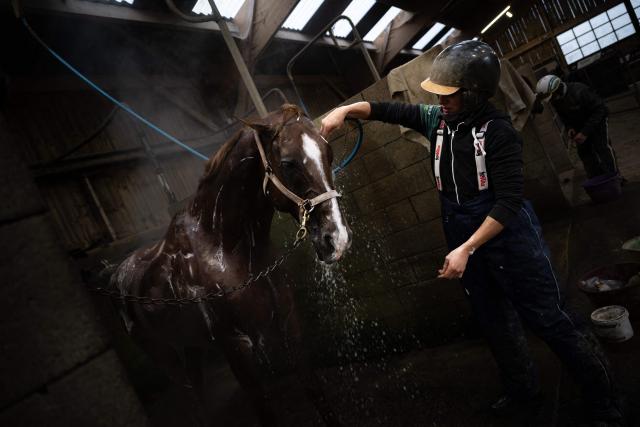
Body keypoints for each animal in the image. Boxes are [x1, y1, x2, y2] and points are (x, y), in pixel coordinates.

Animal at [109, 104, 352, 426]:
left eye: (329, 153)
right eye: (288, 163)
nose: (337, 238)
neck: (226, 248)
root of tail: (116, 274)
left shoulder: (289, 323)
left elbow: (315, 391)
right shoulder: (236, 345)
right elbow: (264, 411)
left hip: (191, 347)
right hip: (165, 357)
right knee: (189, 394)